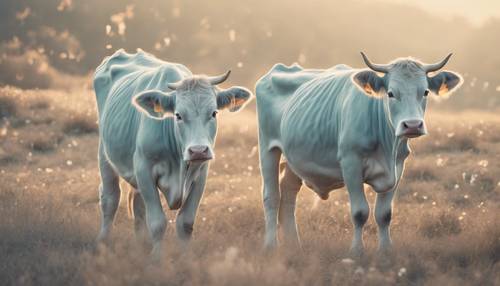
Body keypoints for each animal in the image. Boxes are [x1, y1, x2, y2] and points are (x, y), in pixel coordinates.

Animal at [92, 49, 252, 260]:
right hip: (105, 154)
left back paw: (141, 244)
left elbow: (185, 222)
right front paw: (157, 258)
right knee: (110, 199)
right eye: (178, 115)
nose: (198, 150)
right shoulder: (144, 169)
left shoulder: (201, 175)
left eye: (214, 113)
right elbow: (157, 222)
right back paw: (103, 241)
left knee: (138, 206)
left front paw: (184, 258)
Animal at [256, 53, 462, 255]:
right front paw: (357, 250)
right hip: (268, 148)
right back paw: (270, 245)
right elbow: (360, 212)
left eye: (425, 92)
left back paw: (294, 244)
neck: (387, 145)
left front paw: (386, 250)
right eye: (391, 93)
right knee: (271, 196)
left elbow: (384, 214)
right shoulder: (351, 163)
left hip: (295, 158)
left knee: (288, 193)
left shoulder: (398, 166)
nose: (412, 125)